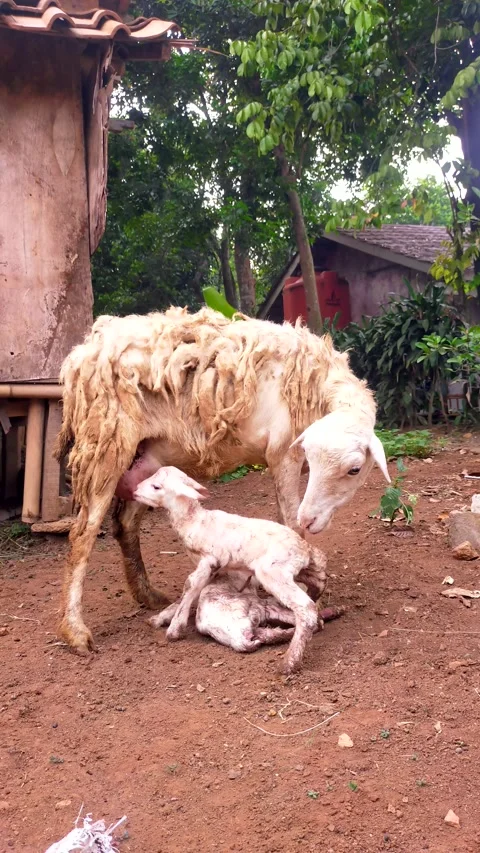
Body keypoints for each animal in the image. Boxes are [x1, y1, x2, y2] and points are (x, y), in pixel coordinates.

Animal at [55, 306, 390, 653]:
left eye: (354, 469)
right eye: (312, 458)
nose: (311, 518)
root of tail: (82, 352)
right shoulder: (284, 453)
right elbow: (290, 526)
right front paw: (303, 585)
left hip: (143, 459)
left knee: (124, 524)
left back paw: (148, 596)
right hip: (104, 444)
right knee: (83, 535)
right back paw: (75, 630)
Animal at [133, 465, 335, 674]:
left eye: (156, 486)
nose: (134, 491)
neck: (193, 520)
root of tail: (303, 549)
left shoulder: (209, 560)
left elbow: (190, 585)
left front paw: (174, 629)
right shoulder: (217, 569)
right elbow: (192, 592)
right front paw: (160, 618)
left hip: (273, 571)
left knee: (305, 608)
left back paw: (290, 661)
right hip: (303, 568)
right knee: (320, 572)